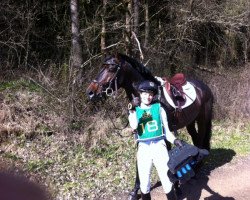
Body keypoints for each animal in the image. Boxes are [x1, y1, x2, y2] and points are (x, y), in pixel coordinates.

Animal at [86, 53, 213, 198]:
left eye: (111, 68)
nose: (90, 92)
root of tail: (204, 87)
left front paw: (176, 187)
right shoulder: (140, 137)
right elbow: (139, 163)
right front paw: (135, 191)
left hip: (202, 120)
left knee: (201, 139)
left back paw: (197, 168)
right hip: (190, 122)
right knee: (196, 138)